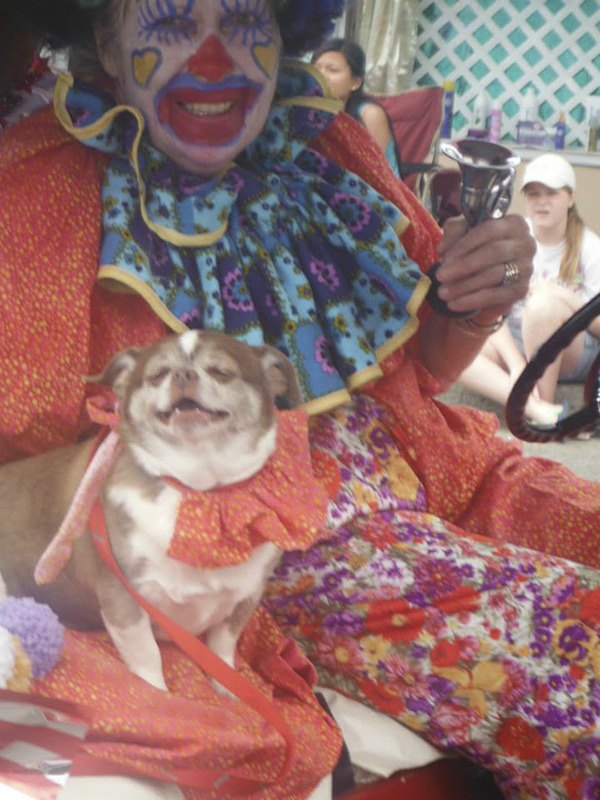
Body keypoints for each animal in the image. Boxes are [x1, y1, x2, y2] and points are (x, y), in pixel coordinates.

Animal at [0, 328, 302, 692]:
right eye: (157, 374)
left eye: (221, 371)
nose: (183, 374)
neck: (198, 491)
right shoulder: (123, 599)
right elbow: (147, 658)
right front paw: (157, 693)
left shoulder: (244, 600)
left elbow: (222, 652)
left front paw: (227, 690)